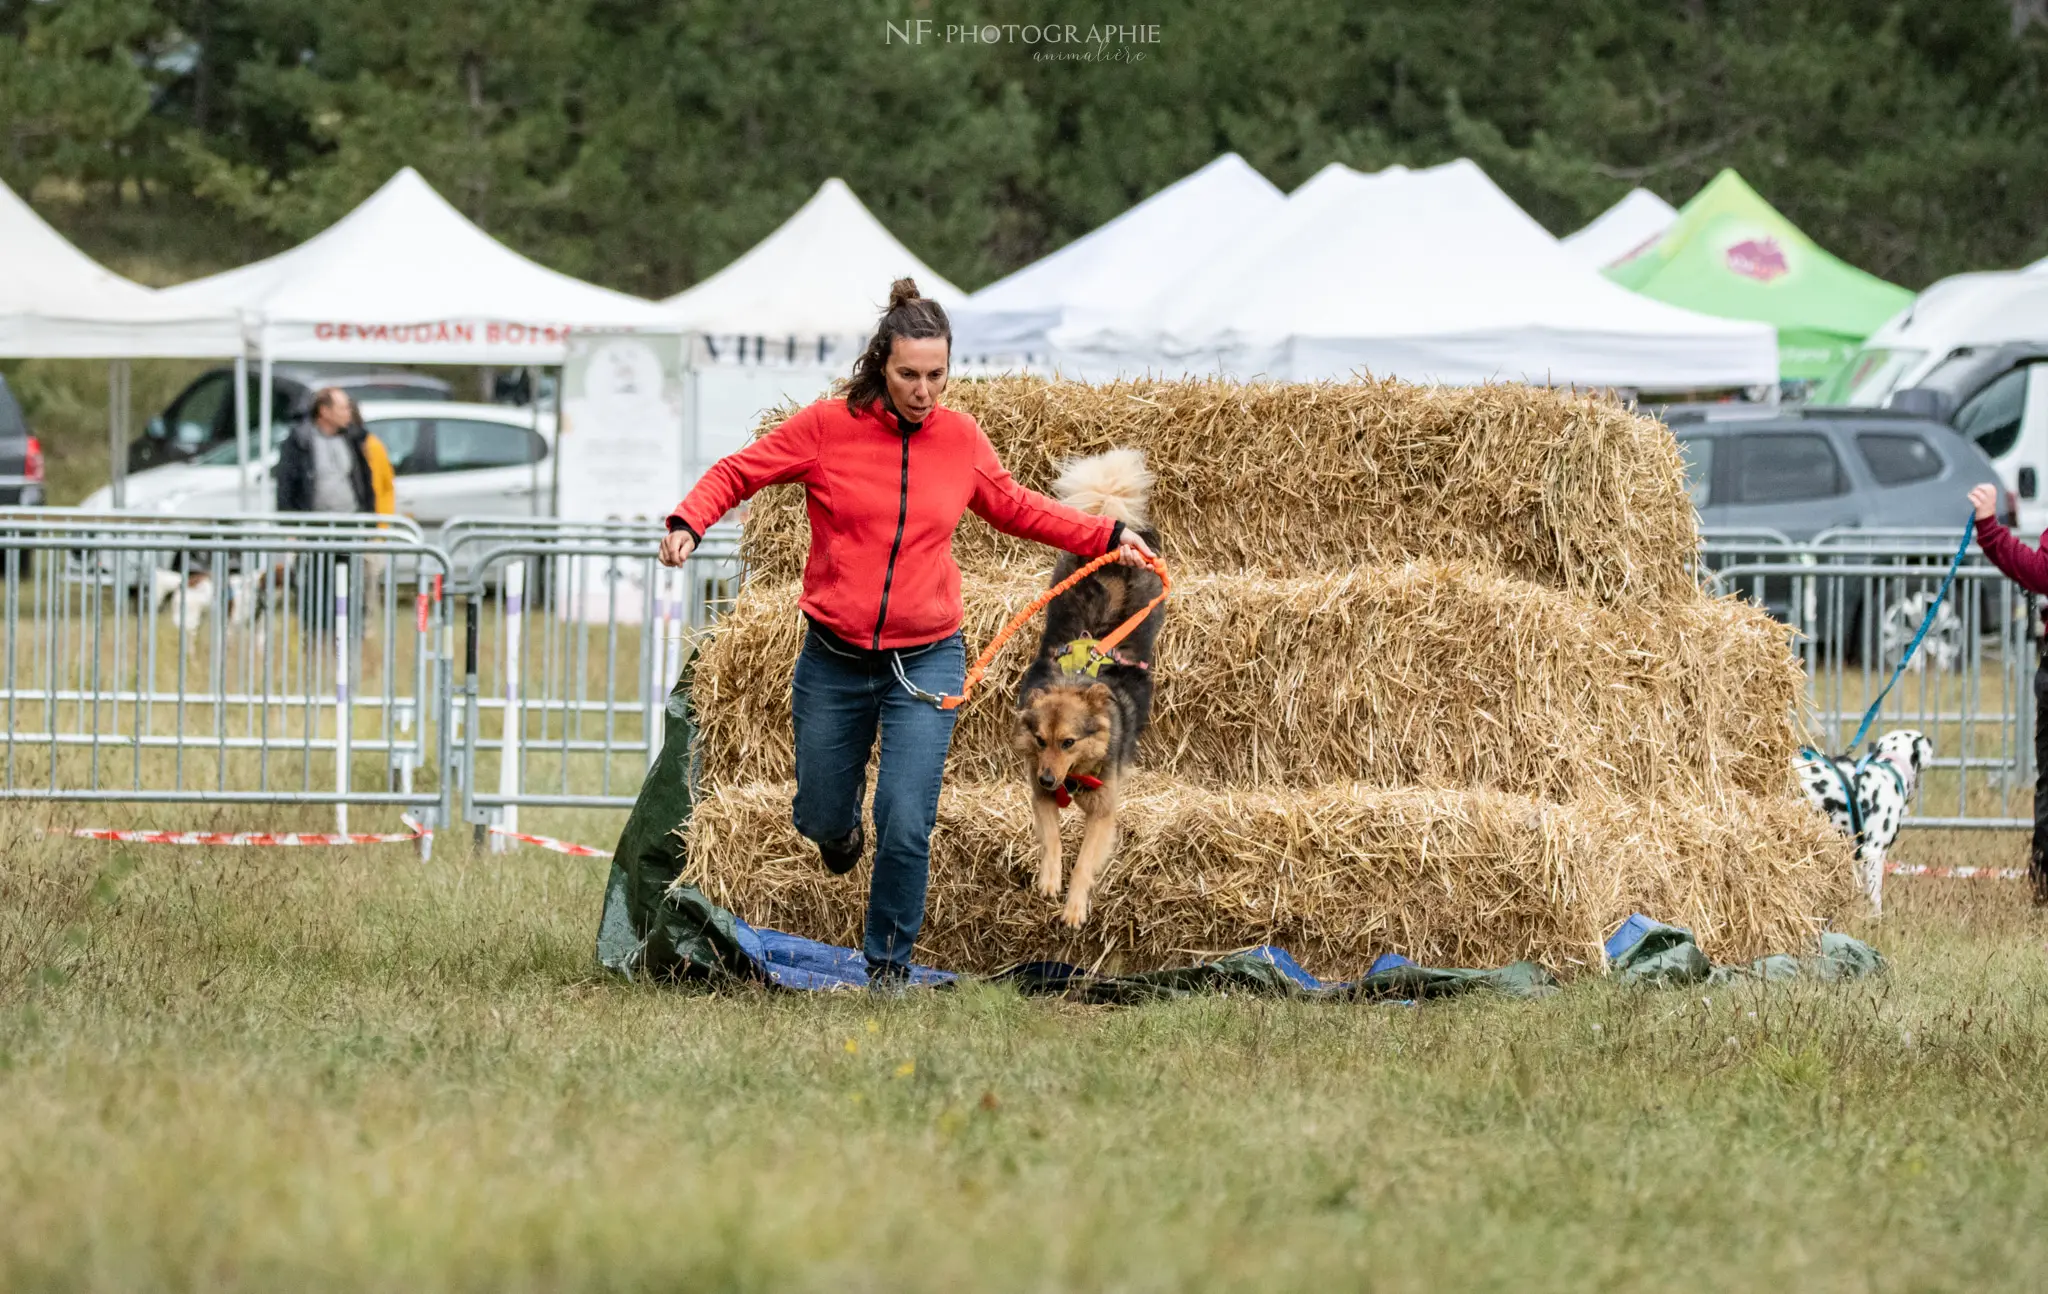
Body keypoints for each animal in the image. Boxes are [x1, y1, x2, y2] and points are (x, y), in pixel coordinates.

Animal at [1011, 450, 1163, 925]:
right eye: (1041, 740)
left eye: (1069, 741)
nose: (1048, 777)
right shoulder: (1038, 795)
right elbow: (1053, 840)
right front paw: (1049, 879)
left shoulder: (1104, 812)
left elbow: (1084, 861)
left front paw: (1075, 905)